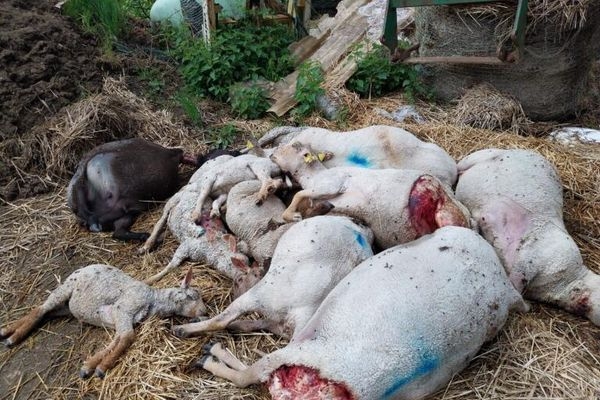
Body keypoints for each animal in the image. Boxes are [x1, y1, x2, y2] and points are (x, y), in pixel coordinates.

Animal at [0, 264, 205, 380]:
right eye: (192, 296)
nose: (204, 311)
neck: (152, 300)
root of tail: (84, 267)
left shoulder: (120, 318)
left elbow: (118, 340)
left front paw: (90, 366)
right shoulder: (124, 309)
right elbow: (127, 337)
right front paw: (101, 368)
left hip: (66, 308)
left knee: (46, 313)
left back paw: (9, 333)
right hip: (66, 286)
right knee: (41, 308)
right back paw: (10, 336)